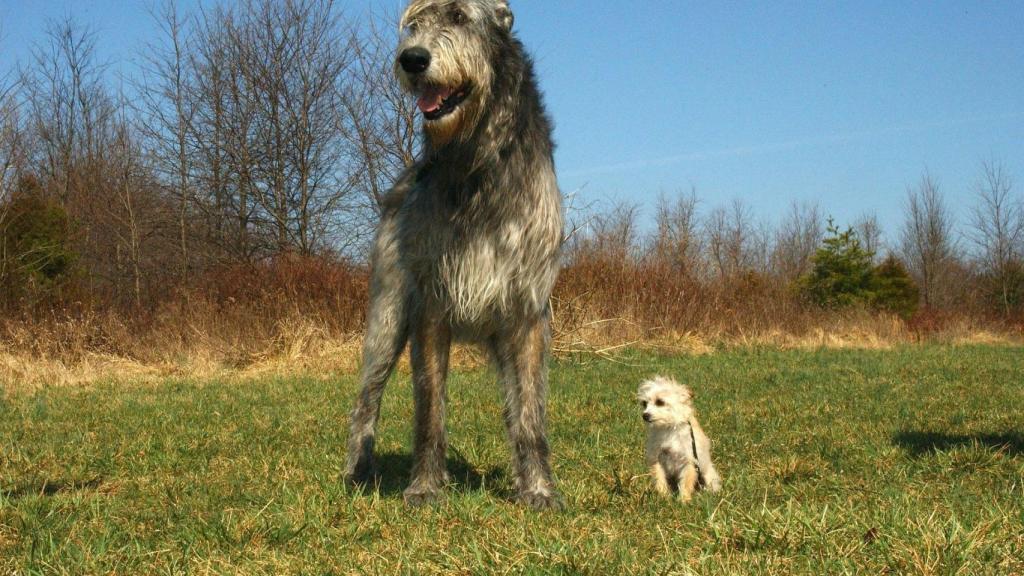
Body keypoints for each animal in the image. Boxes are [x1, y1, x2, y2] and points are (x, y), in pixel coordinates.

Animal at [348, 0, 565, 506]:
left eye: (461, 18)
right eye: (414, 24)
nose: (412, 59)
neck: (477, 161)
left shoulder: (527, 310)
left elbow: (530, 413)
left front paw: (538, 488)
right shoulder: (431, 305)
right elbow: (430, 408)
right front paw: (425, 487)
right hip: (386, 316)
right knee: (367, 398)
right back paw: (358, 469)